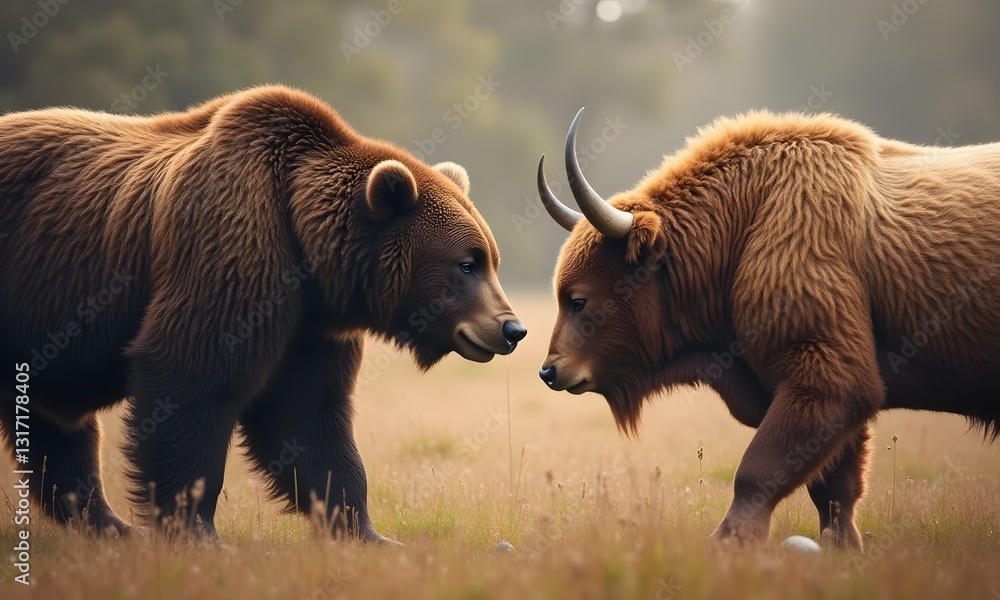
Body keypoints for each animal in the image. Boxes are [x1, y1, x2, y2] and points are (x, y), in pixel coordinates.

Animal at [0, 85, 526, 541]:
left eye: (491, 260)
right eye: (467, 264)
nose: (511, 328)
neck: (307, 251)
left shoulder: (309, 329)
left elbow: (308, 416)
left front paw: (365, 530)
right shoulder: (229, 253)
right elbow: (193, 378)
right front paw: (196, 529)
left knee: (56, 429)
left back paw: (109, 525)